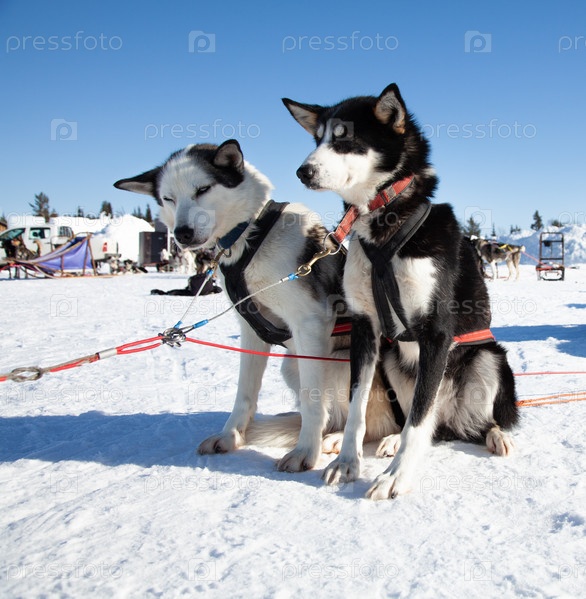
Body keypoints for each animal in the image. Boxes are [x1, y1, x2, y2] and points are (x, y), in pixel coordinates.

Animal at [114, 140, 401, 472]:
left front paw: (306, 451)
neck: (251, 235)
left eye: (203, 189)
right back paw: (335, 436)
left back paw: (375, 439)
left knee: (380, 421)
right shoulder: (251, 330)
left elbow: (313, 400)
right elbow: (245, 393)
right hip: (292, 366)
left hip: (341, 365)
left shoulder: (309, 324)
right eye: (168, 199)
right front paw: (231, 435)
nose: (182, 233)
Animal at [283, 84, 519, 498]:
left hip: (489, 359)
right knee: (427, 424)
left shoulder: (436, 335)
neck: (384, 224)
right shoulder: (365, 328)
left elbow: (418, 423)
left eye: (345, 139)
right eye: (319, 138)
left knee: (461, 422)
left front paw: (396, 476)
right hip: (394, 362)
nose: (302, 171)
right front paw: (347, 461)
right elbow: (357, 407)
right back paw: (384, 440)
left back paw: (496, 436)